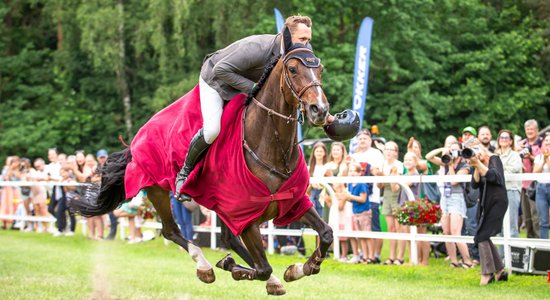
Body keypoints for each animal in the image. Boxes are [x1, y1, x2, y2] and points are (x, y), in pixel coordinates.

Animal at [71, 42, 334, 296]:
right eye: (293, 69)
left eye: (321, 69)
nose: (319, 110)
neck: (269, 145)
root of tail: (137, 138)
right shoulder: (245, 217)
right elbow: (262, 267)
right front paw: (235, 267)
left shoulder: (292, 202)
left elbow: (326, 233)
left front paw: (301, 268)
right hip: (157, 190)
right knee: (171, 230)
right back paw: (205, 266)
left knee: (225, 238)